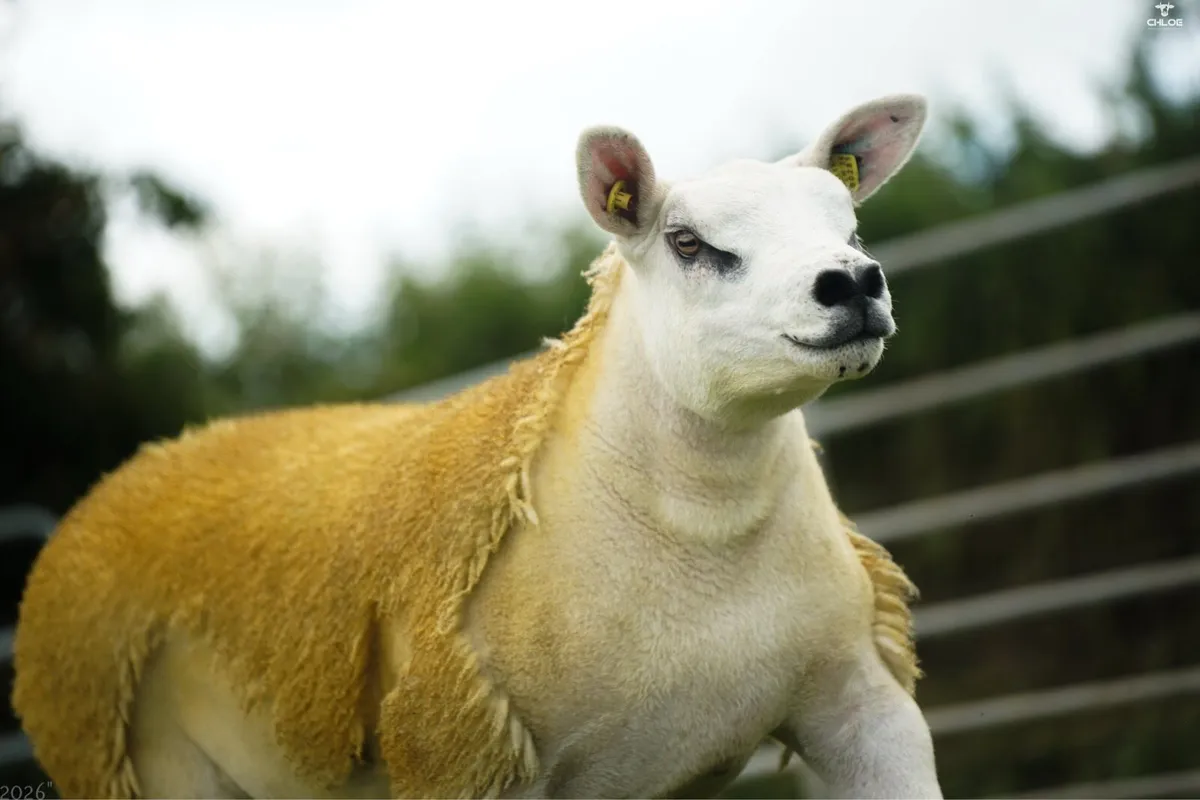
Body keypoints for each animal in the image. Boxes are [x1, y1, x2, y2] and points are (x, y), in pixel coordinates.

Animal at [12, 92, 939, 799]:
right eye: (688, 243)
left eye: (851, 227)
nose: (853, 283)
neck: (701, 535)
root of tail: (129, 475)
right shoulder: (462, 748)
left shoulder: (861, 701)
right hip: (147, 763)